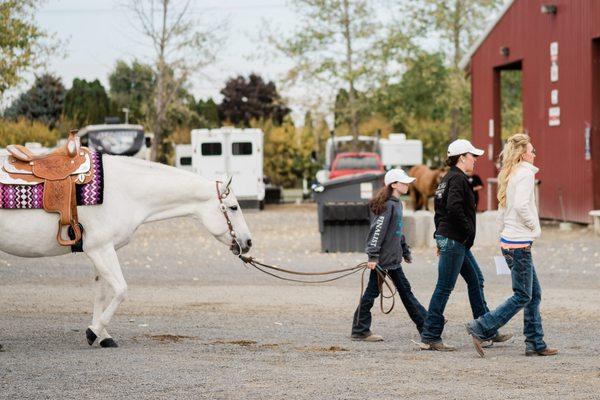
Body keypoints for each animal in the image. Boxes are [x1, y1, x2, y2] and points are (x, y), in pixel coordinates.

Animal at [0, 155, 252, 348]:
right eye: (233, 207)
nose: (248, 242)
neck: (123, 191)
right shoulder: (100, 249)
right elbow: (121, 290)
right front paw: (92, 332)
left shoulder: (101, 251)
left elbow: (101, 293)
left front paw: (103, 336)